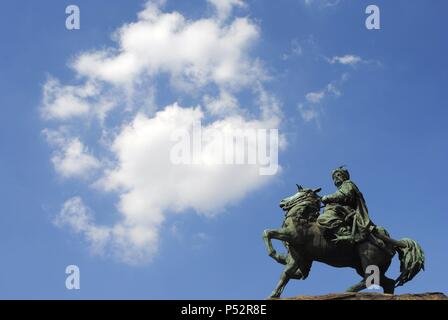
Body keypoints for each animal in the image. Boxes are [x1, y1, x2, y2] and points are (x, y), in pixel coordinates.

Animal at [264, 184, 426, 298]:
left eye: (301, 192)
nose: (282, 202)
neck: (302, 218)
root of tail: (392, 242)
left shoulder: (291, 236)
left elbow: (267, 233)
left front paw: (274, 254)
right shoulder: (298, 256)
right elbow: (287, 274)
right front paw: (274, 294)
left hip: (367, 260)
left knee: (370, 279)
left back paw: (349, 290)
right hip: (363, 266)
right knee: (387, 282)